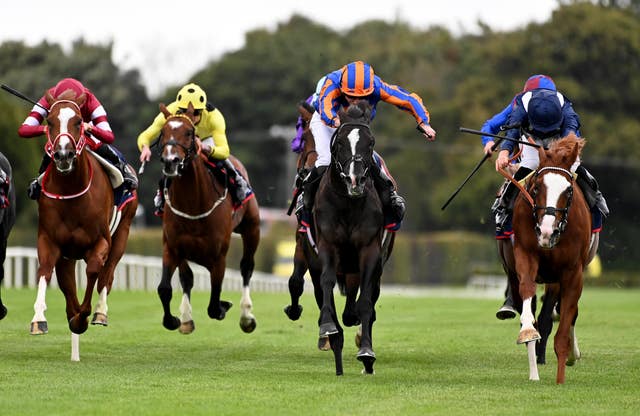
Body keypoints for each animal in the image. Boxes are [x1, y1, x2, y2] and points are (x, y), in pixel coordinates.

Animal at [30, 90, 138, 360]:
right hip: (68, 254)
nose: (63, 155)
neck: (72, 192)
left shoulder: (100, 242)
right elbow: (45, 272)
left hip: (123, 232)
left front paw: (83, 317)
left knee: (107, 275)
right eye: (49, 122)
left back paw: (99, 312)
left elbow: (93, 271)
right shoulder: (51, 241)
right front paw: (39, 318)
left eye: (79, 121)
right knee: (66, 281)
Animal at [156, 103, 260, 334]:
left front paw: (224, 306)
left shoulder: (218, 256)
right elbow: (166, 288)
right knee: (187, 278)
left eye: (189, 132)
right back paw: (186, 318)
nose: (170, 162)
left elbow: (214, 304)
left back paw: (246, 316)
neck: (193, 203)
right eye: (163, 132)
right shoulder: (172, 246)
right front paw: (174, 320)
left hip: (252, 228)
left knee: (246, 267)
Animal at [510, 134, 596, 384]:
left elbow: (565, 325)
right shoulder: (525, 253)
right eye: (537, 187)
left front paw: (560, 378)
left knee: (570, 312)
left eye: (568, 191)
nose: (547, 232)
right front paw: (528, 334)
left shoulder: (572, 272)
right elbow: (528, 296)